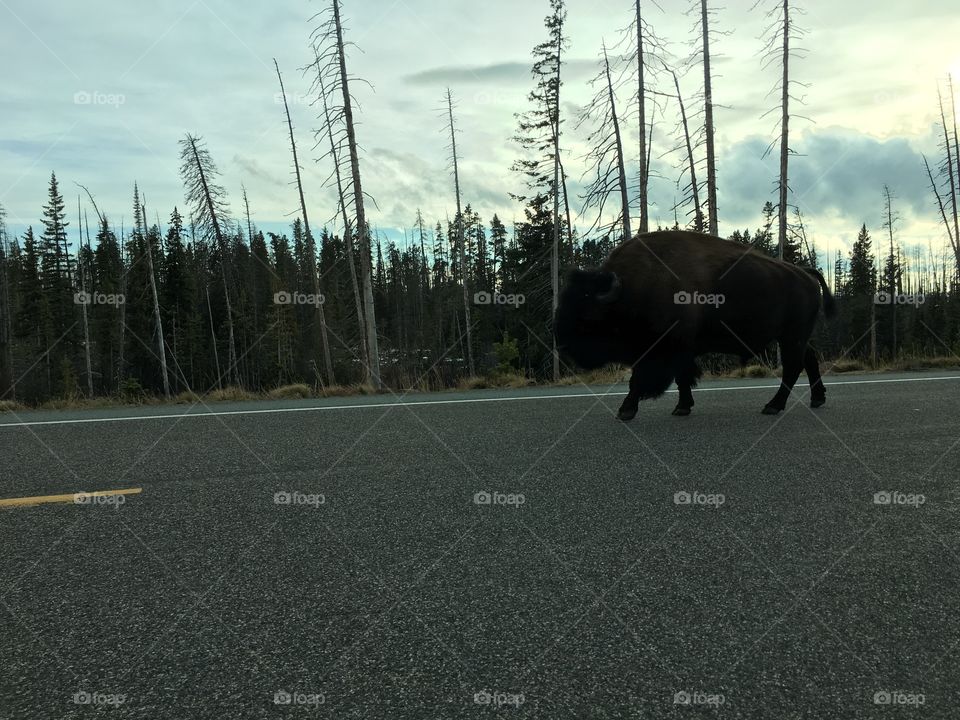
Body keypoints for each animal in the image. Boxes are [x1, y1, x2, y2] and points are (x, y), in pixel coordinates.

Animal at [554, 230, 836, 420]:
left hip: (791, 337)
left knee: (793, 367)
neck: (629, 290)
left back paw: (773, 406)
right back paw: (817, 399)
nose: (562, 346)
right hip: (794, 337)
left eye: (589, 315)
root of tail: (806, 273)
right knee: (809, 359)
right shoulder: (680, 350)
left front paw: (626, 410)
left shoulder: (662, 349)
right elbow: (682, 378)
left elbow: (641, 380)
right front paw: (682, 407)